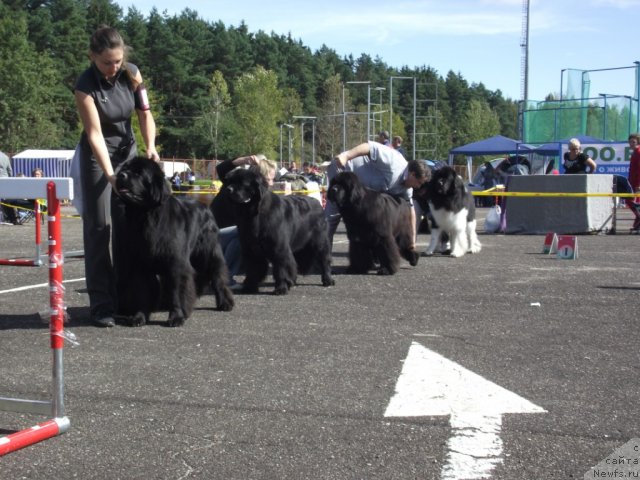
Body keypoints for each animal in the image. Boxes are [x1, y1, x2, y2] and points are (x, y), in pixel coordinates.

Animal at [115, 158, 235, 326]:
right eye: (125, 168)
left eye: (139, 173)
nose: (121, 175)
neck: (146, 216)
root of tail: (205, 206)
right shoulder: (140, 264)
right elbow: (142, 292)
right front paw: (139, 317)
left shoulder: (175, 263)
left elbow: (177, 291)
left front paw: (176, 317)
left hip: (208, 253)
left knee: (218, 276)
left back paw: (225, 303)